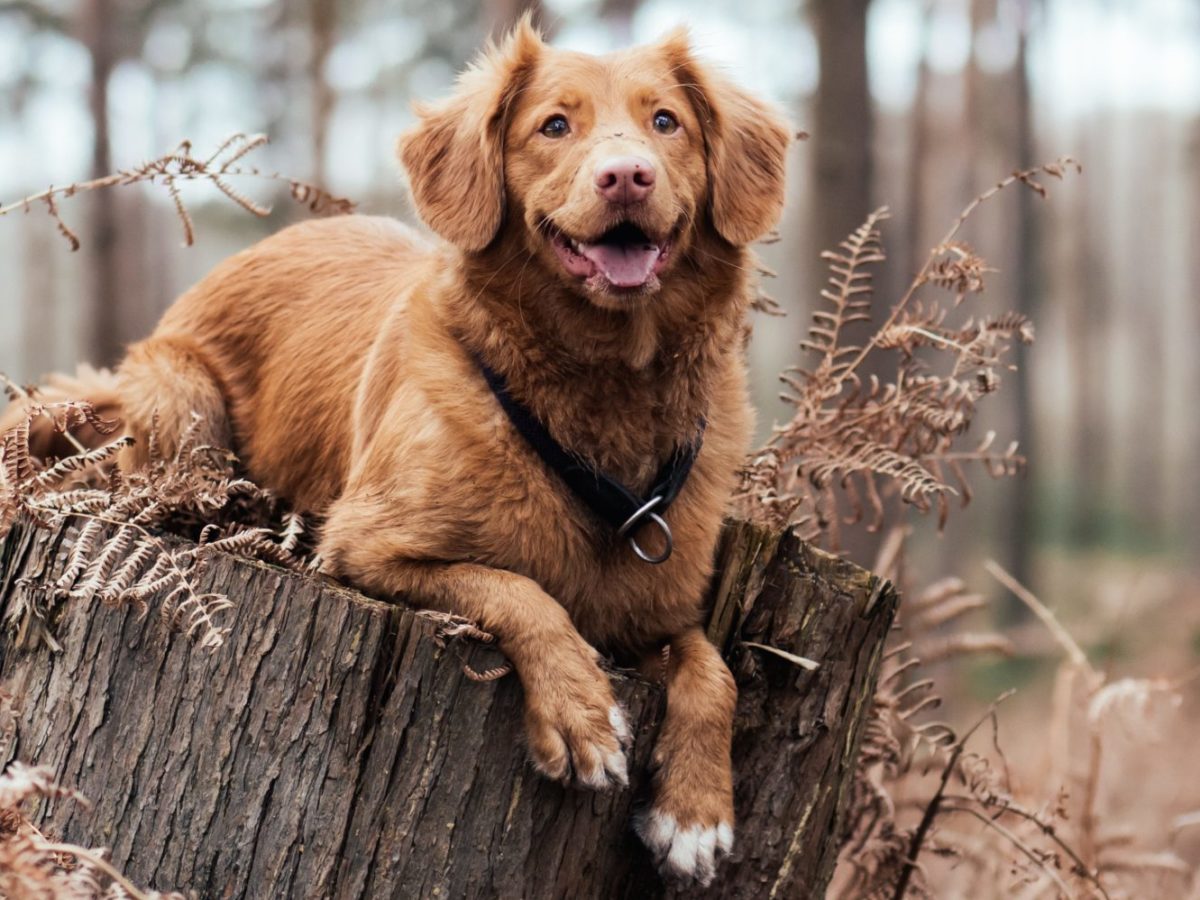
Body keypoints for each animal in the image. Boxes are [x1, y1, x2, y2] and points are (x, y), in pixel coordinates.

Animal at [16, 21, 796, 888]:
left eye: (666, 122)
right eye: (555, 126)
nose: (626, 175)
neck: (600, 391)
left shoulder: (657, 608)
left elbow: (711, 668)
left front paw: (696, 812)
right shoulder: (365, 546)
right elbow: (520, 589)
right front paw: (580, 711)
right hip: (179, 399)